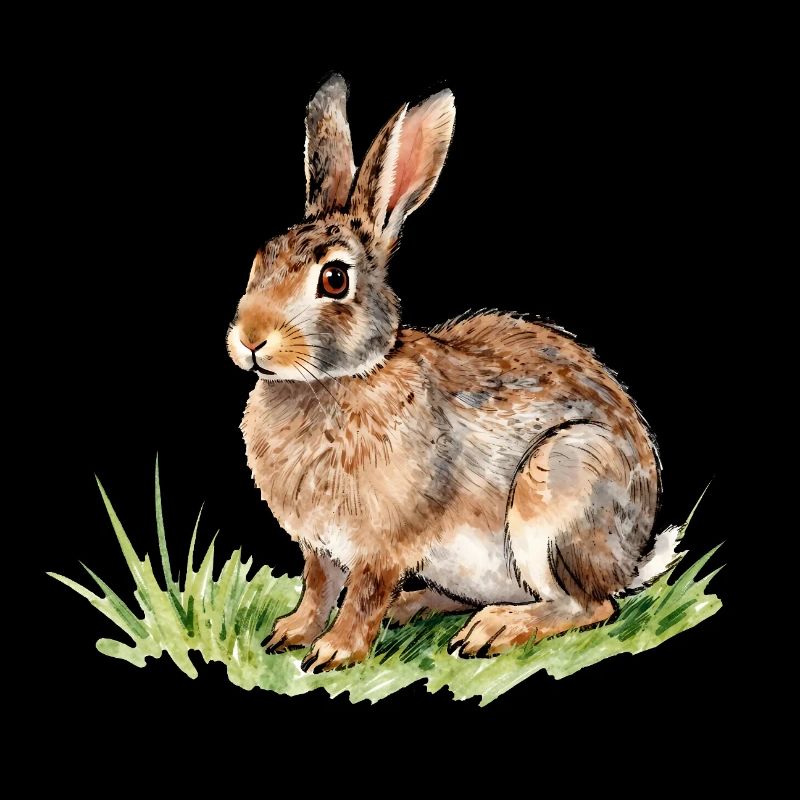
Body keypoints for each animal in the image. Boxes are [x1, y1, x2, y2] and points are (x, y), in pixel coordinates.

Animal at [227, 74, 672, 673]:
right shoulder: (318, 545)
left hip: (559, 487)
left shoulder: (385, 542)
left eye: (335, 279)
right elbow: (319, 588)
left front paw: (334, 652)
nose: (251, 339)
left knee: (592, 606)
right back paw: (417, 607)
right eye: (261, 260)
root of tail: (630, 560)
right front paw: (291, 633)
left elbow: (363, 594)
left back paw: (495, 631)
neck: (340, 380)